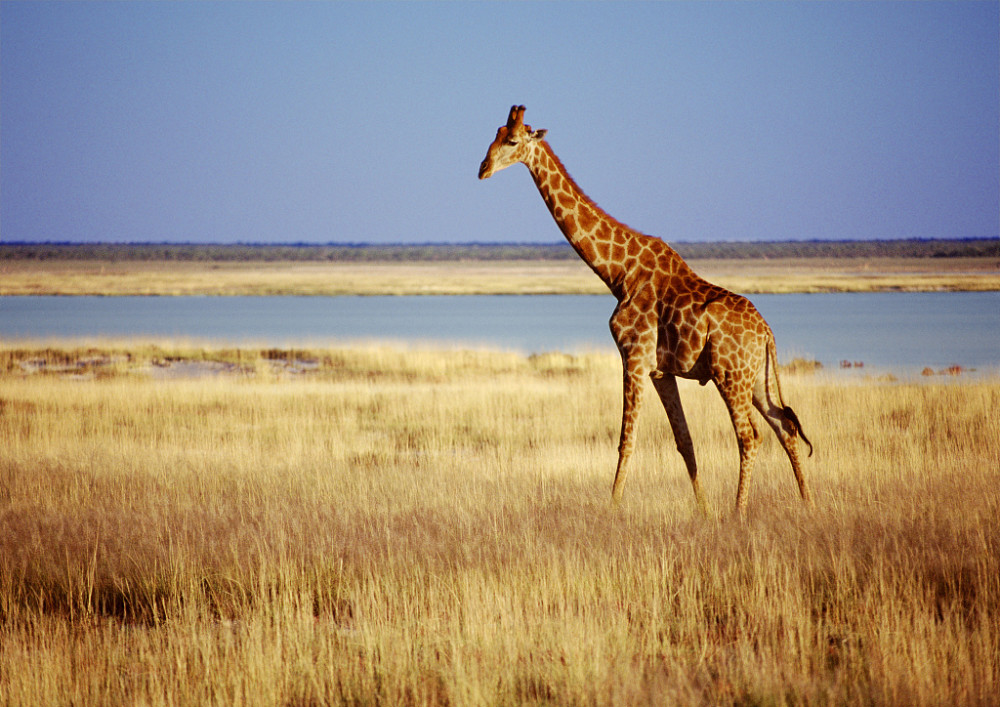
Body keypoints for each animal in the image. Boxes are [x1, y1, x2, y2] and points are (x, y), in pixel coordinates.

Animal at [476, 105, 812, 512]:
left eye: (511, 141)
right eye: (494, 134)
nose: (482, 169)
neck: (619, 273)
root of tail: (767, 334)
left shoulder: (633, 356)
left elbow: (627, 440)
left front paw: (612, 509)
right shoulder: (660, 371)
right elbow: (684, 442)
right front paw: (704, 512)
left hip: (729, 375)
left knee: (751, 436)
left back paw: (739, 513)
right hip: (756, 379)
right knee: (785, 426)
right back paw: (809, 506)